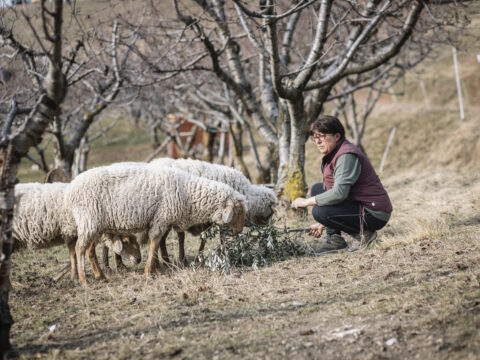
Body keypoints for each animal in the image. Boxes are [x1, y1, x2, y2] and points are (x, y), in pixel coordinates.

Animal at [12, 183, 141, 282]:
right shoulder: (82, 232)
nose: (139, 259)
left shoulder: (72, 235)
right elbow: (87, 254)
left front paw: (68, 278)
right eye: (126, 241)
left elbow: (73, 256)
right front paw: (98, 276)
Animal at [64, 165, 248, 286]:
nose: (239, 230)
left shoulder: (161, 221)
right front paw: (149, 272)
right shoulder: (161, 219)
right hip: (89, 220)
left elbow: (157, 244)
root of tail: (71, 189)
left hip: (95, 224)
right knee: (80, 248)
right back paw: (84, 279)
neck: (187, 194)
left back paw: (100, 276)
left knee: (89, 250)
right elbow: (154, 243)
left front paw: (155, 269)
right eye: (238, 211)